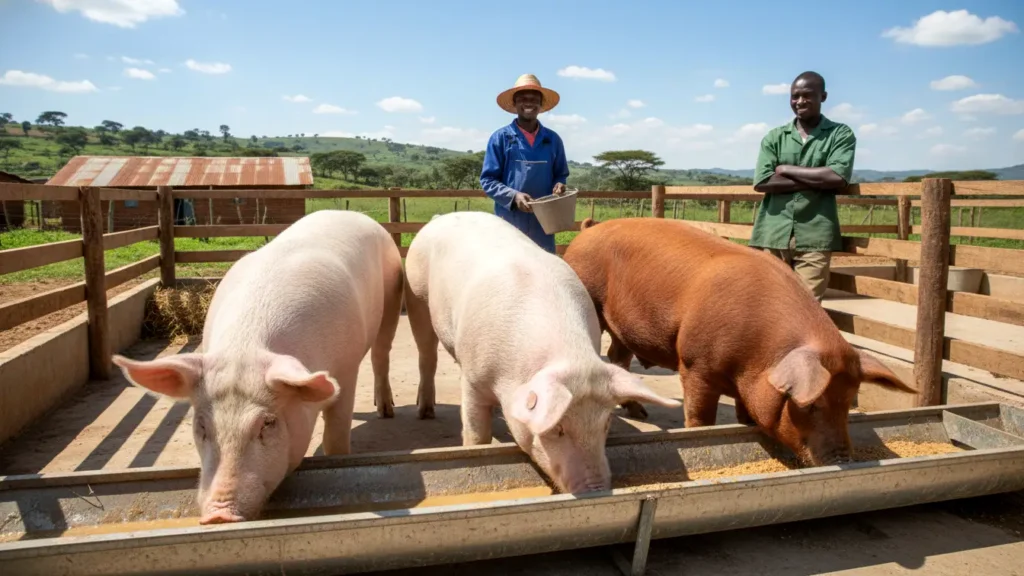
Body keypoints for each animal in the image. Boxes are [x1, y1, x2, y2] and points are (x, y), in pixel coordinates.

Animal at [111, 210, 404, 524]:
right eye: (201, 425)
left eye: (267, 423)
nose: (219, 514)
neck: (245, 345)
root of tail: (349, 213)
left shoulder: (346, 371)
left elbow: (336, 436)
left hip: (391, 299)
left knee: (381, 354)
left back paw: (386, 411)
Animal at [403, 211, 680, 493]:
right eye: (558, 428)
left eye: (606, 423)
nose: (597, 489)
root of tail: (442, 216)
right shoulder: (472, 378)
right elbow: (477, 434)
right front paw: (475, 448)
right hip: (416, 295)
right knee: (427, 355)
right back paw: (425, 412)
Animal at [562, 217, 917, 466]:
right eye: (811, 405)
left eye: (848, 402)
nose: (844, 459)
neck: (758, 357)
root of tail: (587, 231)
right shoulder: (695, 364)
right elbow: (701, 416)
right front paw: (699, 437)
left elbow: (747, 414)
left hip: (622, 326)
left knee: (618, 355)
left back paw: (640, 413)